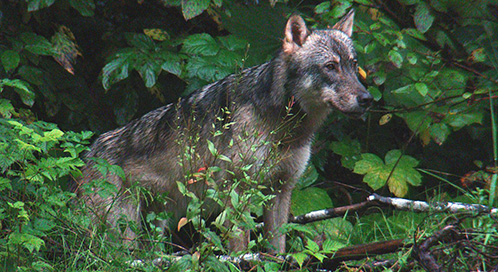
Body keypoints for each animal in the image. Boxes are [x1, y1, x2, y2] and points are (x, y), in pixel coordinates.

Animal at [78, 9, 372, 254]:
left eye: (353, 64)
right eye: (330, 66)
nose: (367, 99)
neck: (285, 128)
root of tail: (90, 151)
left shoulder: (281, 190)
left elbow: (276, 248)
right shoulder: (236, 192)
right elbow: (240, 248)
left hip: (154, 226)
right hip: (118, 232)